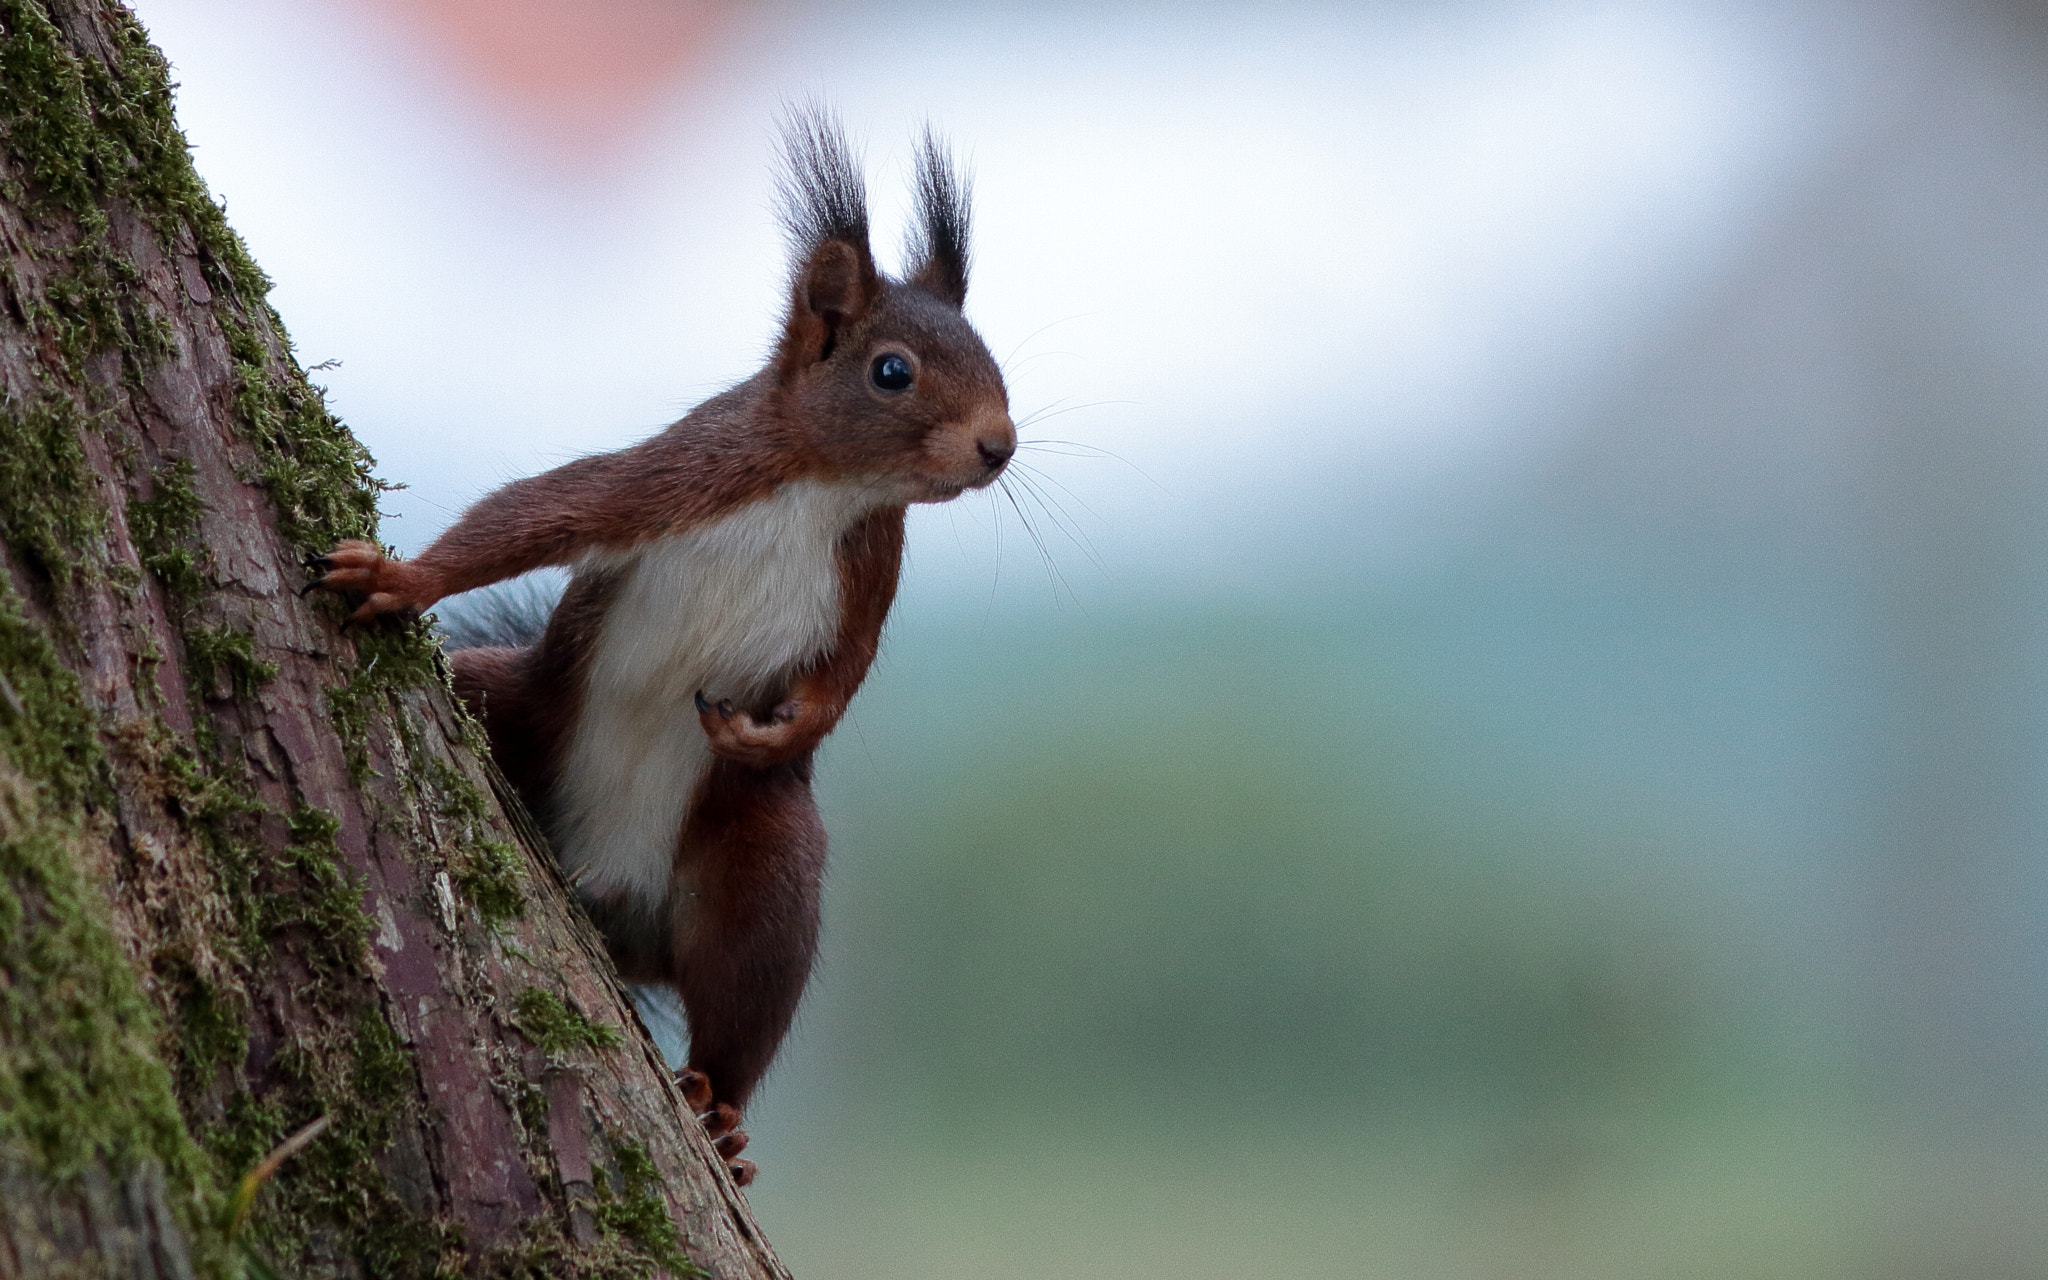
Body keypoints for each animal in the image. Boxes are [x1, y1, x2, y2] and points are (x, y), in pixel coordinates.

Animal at [311, 114, 1015, 1179]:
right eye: (893, 370)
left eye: (992, 353)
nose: (1000, 445)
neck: (824, 487)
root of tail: (612, 897)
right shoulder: (676, 477)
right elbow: (539, 511)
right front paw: (407, 579)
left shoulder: (869, 570)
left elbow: (842, 678)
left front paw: (776, 733)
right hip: (519, 704)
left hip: (764, 867)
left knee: (741, 1005)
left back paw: (721, 1114)